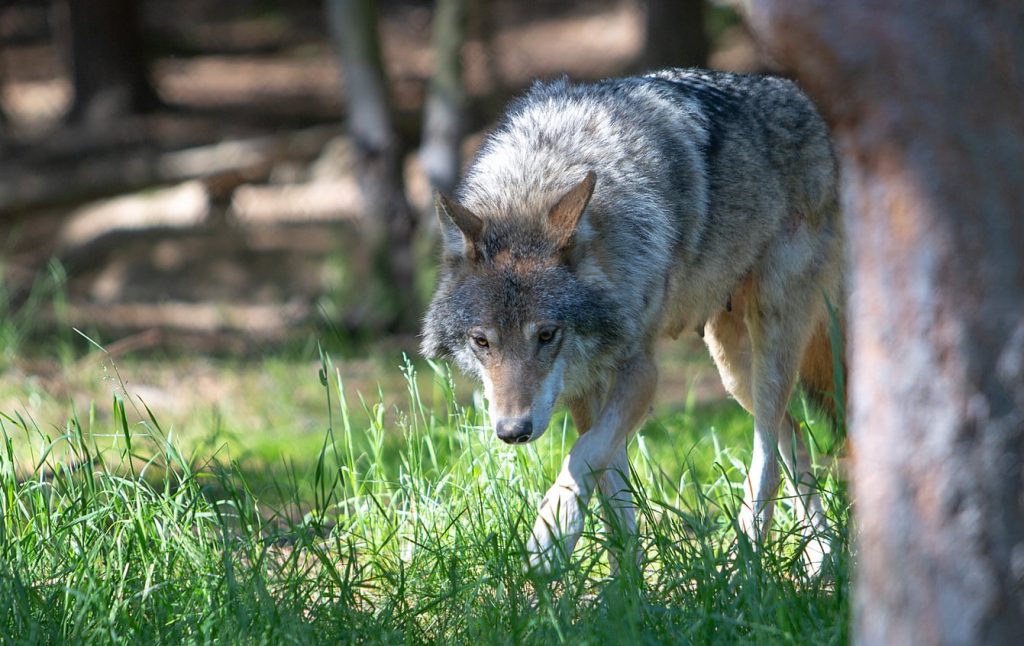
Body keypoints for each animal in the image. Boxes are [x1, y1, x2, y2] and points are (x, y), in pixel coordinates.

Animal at [419, 68, 843, 569]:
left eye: (546, 335)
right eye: (482, 341)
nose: (512, 432)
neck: (540, 176)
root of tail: (801, 98)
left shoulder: (640, 372)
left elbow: (583, 455)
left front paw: (551, 536)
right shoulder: (584, 390)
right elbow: (611, 490)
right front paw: (627, 581)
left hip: (769, 338)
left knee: (768, 461)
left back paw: (747, 567)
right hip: (734, 370)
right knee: (794, 440)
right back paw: (821, 559)